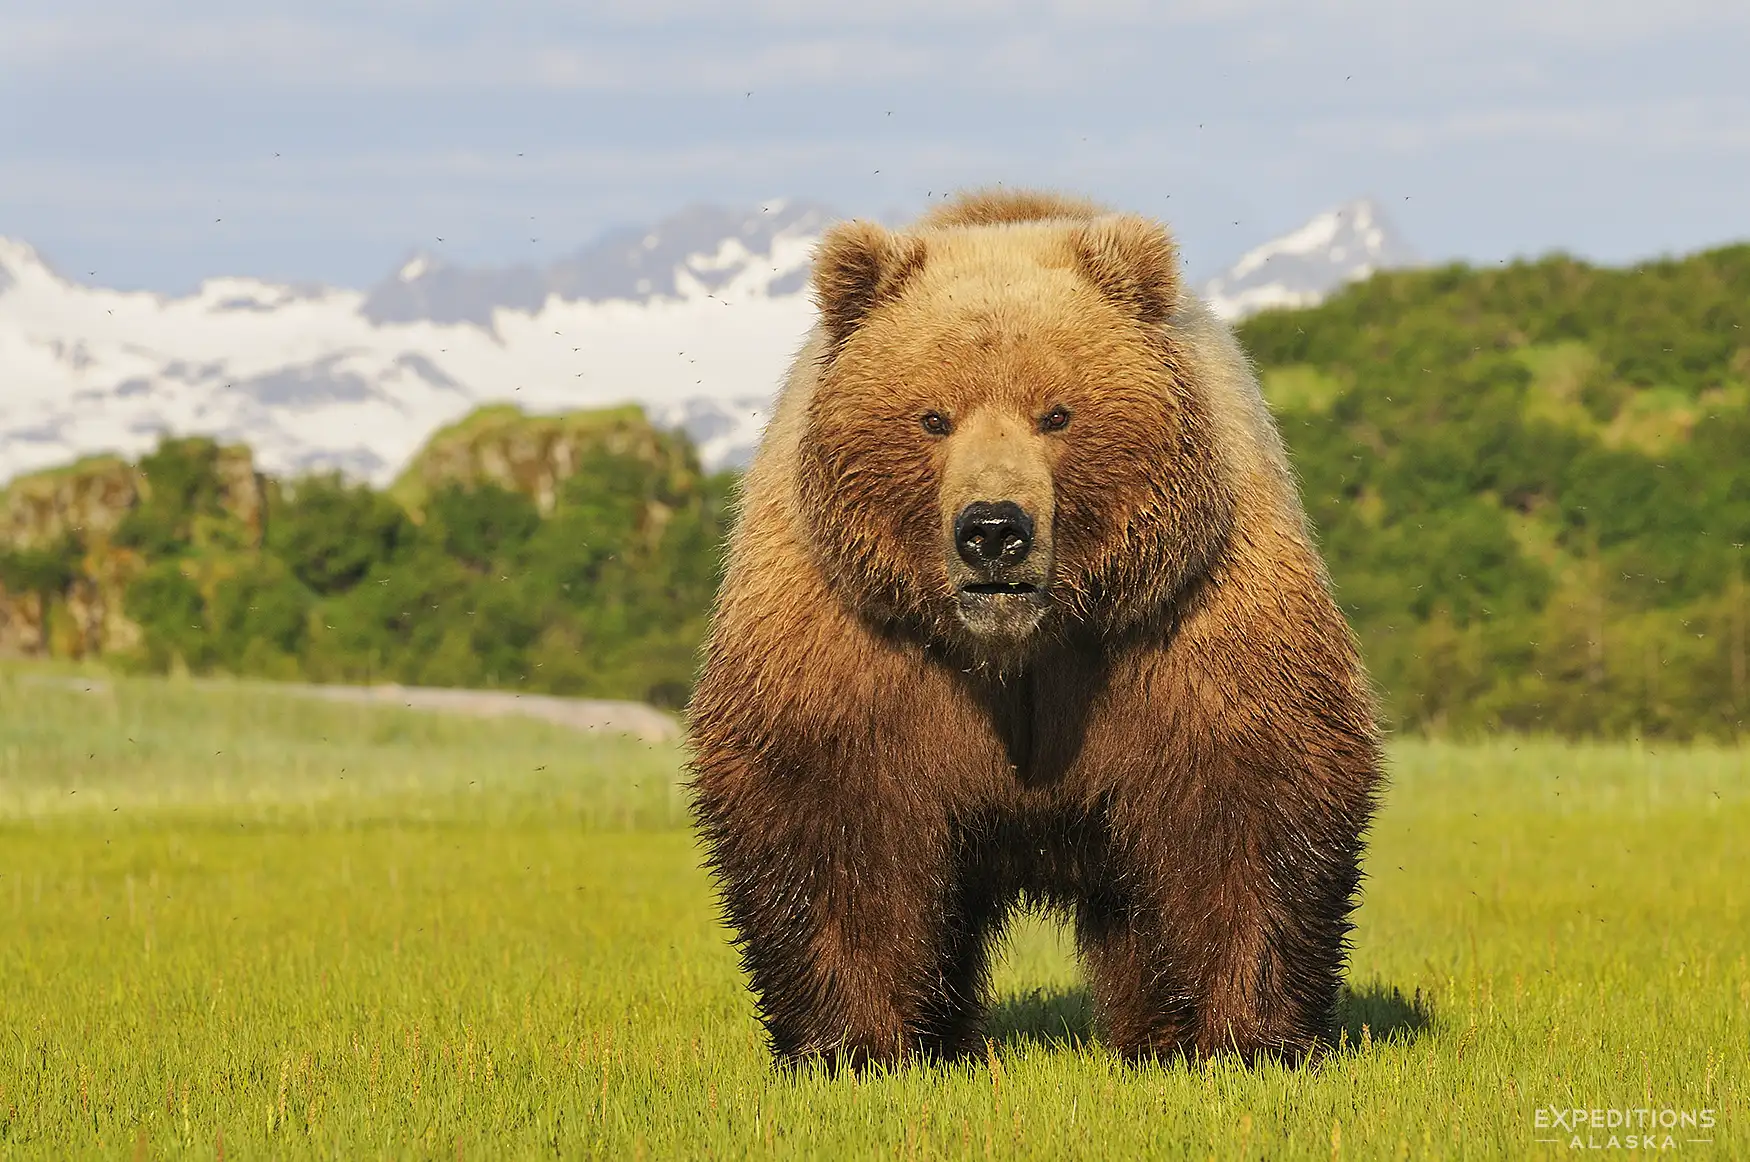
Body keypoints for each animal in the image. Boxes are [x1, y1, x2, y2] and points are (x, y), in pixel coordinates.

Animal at [687, 188, 1383, 1070]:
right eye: (933, 416)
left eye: (1057, 412)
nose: (992, 529)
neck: (1022, 648)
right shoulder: (854, 633)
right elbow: (829, 811)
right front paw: (852, 1046)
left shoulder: (1182, 620)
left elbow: (1247, 794)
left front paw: (1248, 1039)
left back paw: (1154, 1038)